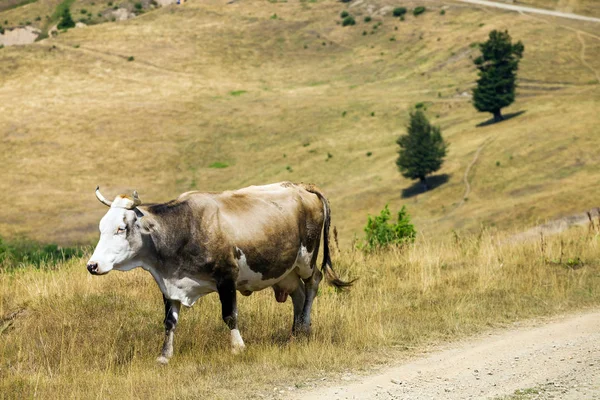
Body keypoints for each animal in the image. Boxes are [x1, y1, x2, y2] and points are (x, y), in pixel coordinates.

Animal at [88, 183, 352, 364]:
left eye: (121, 228)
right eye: (101, 228)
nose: (92, 265)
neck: (184, 228)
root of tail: (302, 186)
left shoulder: (227, 278)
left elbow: (229, 316)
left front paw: (238, 347)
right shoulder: (169, 285)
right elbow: (169, 322)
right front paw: (165, 355)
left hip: (306, 259)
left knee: (313, 283)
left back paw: (304, 325)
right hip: (285, 270)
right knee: (298, 293)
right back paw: (296, 332)